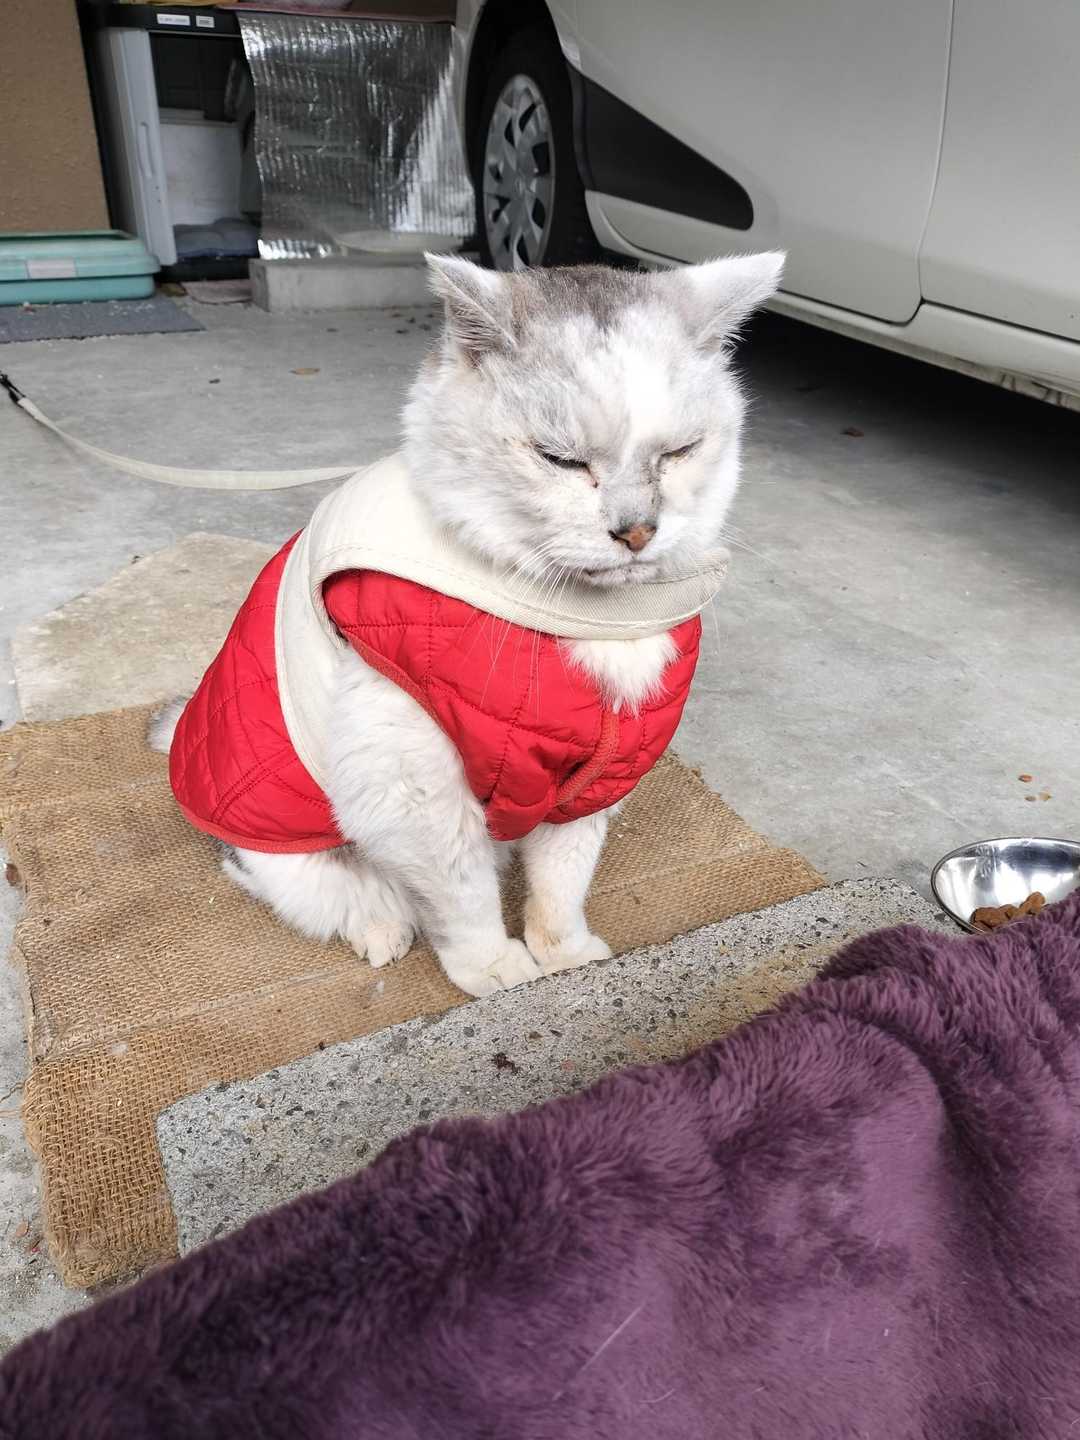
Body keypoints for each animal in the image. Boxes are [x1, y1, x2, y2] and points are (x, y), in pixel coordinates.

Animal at [151, 252, 783, 998]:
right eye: (560, 459)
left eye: (679, 453)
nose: (636, 532)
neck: (582, 615)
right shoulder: (409, 786)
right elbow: (463, 894)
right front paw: (496, 969)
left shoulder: (595, 779)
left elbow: (563, 880)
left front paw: (562, 954)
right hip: (294, 856)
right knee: (350, 896)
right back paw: (382, 932)